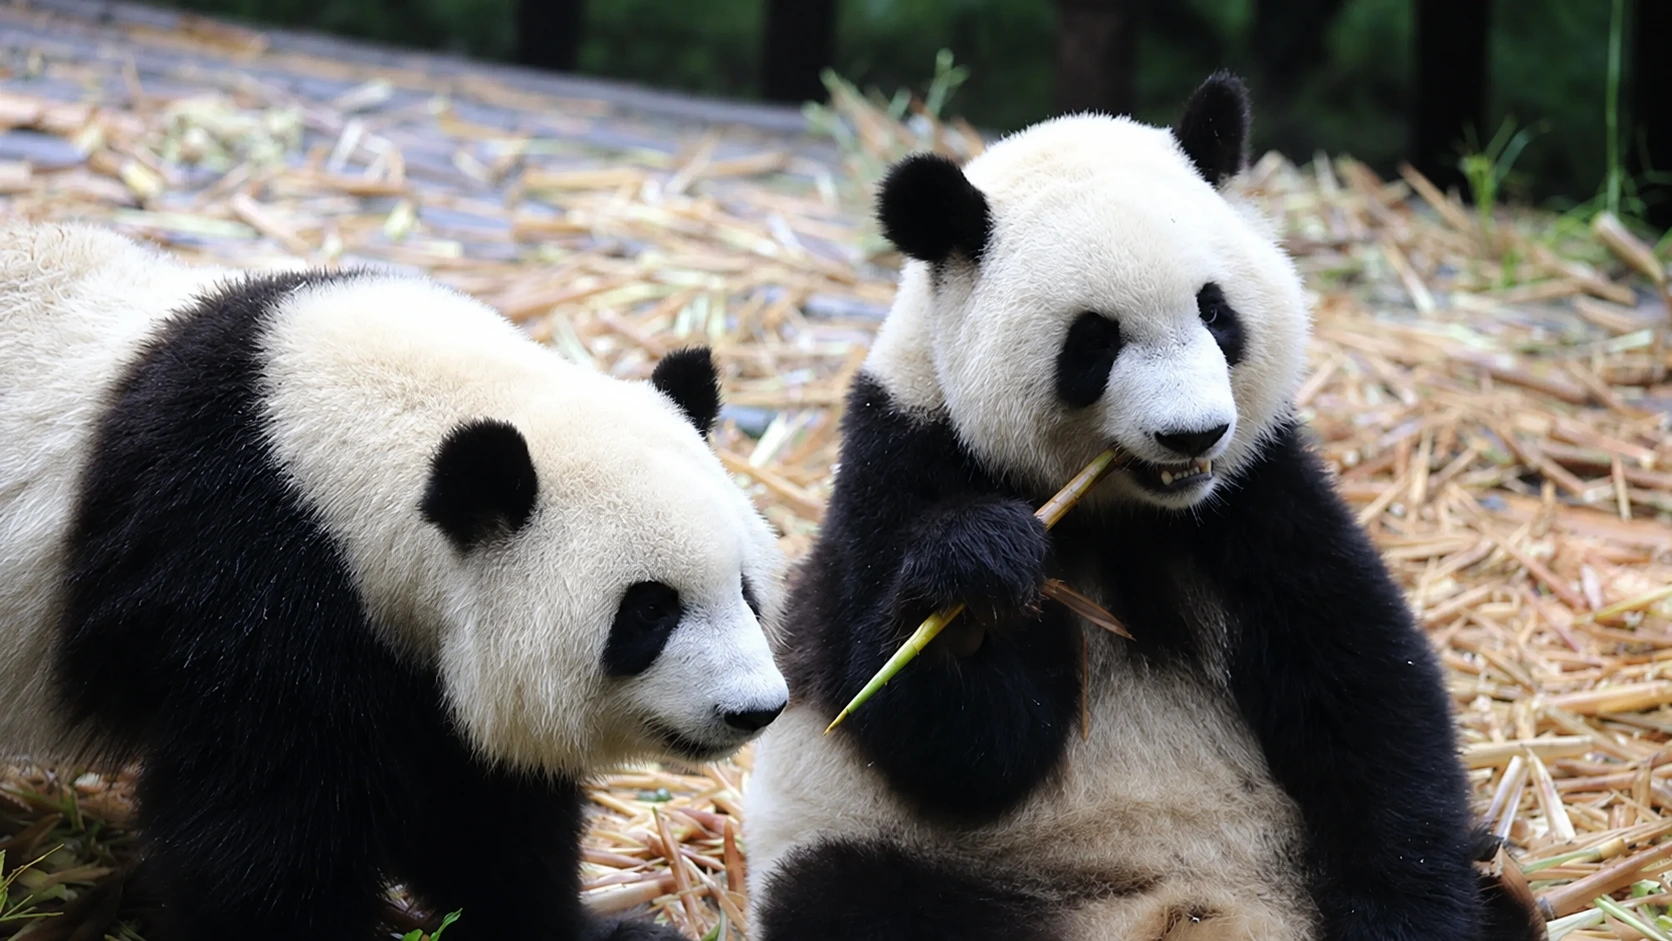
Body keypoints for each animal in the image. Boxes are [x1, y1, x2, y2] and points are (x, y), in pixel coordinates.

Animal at [0, 222, 789, 941]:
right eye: (650, 609)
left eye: (746, 591)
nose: (755, 709)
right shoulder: (239, 573)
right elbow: (260, 823)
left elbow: (483, 811)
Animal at [742, 74, 1545, 941]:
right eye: (1094, 341)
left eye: (1215, 311)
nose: (1192, 433)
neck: (1123, 512)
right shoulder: (900, 460)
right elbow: (957, 743)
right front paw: (973, 582)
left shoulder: (1256, 494)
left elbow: (1361, 686)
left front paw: (1408, 912)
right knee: (847, 893)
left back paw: (1505, 892)